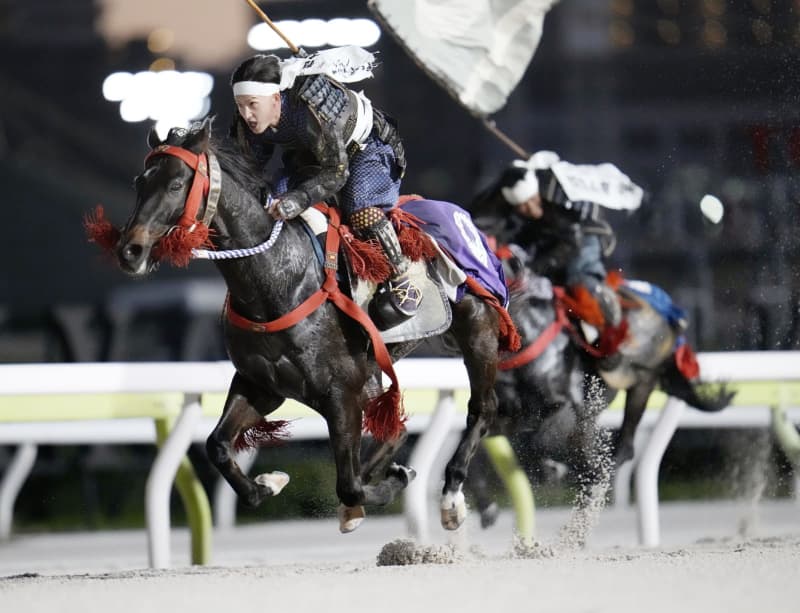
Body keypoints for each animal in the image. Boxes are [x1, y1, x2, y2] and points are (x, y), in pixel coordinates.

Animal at [87, 119, 510, 532]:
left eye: (176, 184)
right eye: (140, 183)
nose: (130, 251)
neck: (276, 281)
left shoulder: (341, 393)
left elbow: (351, 484)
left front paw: (392, 481)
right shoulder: (262, 384)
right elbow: (217, 445)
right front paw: (268, 483)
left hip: (478, 329)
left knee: (482, 408)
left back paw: (451, 496)